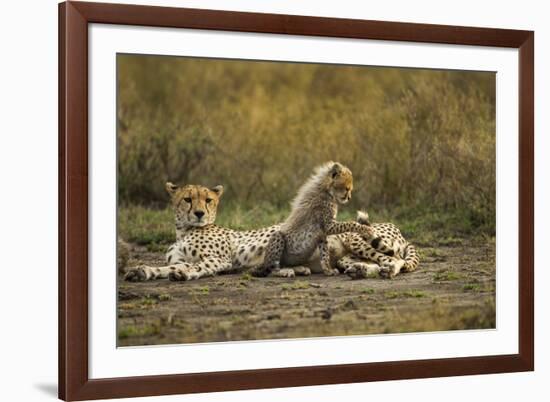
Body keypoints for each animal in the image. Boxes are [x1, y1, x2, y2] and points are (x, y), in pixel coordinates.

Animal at [124, 184, 418, 282]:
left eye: (208, 200)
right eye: (187, 199)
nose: (199, 213)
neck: (184, 230)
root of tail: (396, 226)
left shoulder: (220, 260)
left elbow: (196, 267)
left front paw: (183, 274)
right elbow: (165, 267)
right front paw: (142, 271)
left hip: (356, 239)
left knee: (395, 260)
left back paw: (386, 271)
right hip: (345, 254)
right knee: (368, 263)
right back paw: (359, 270)